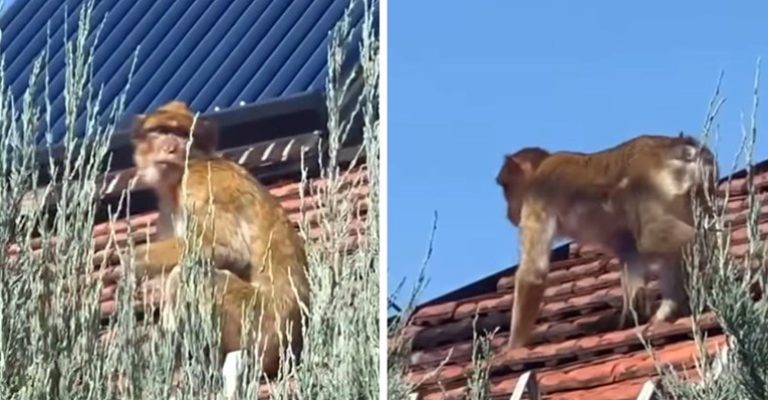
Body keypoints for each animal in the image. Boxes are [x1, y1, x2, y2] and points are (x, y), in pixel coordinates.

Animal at [94, 101, 310, 378]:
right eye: (161, 131)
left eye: (182, 134)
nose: (170, 148)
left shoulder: (200, 184)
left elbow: (229, 250)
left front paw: (132, 262)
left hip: (259, 324)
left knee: (188, 274)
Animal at [498, 134, 720, 346]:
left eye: (506, 186)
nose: (507, 212)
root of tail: (682, 147)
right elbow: (628, 252)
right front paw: (632, 314)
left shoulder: (536, 197)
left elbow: (533, 271)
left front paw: (513, 347)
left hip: (651, 184)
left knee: (652, 237)